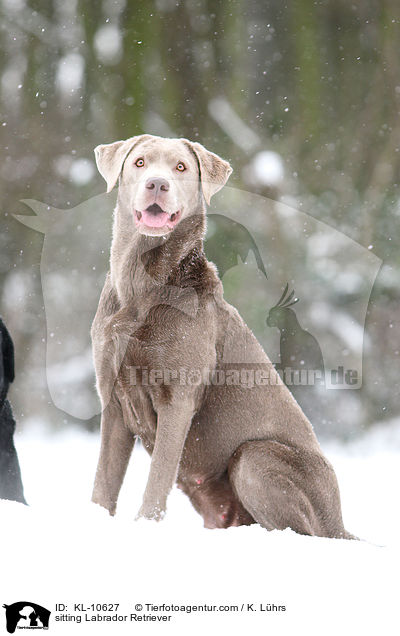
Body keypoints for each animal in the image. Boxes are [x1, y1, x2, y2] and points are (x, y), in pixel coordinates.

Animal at [90, 133, 354, 536]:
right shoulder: (114, 400)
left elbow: (158, 477)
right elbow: (103, 482)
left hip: (255, 457)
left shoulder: (178, 399)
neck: (142, 283)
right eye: (139, 162)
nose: (157, 184)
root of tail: (338, 522)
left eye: (180, 167)